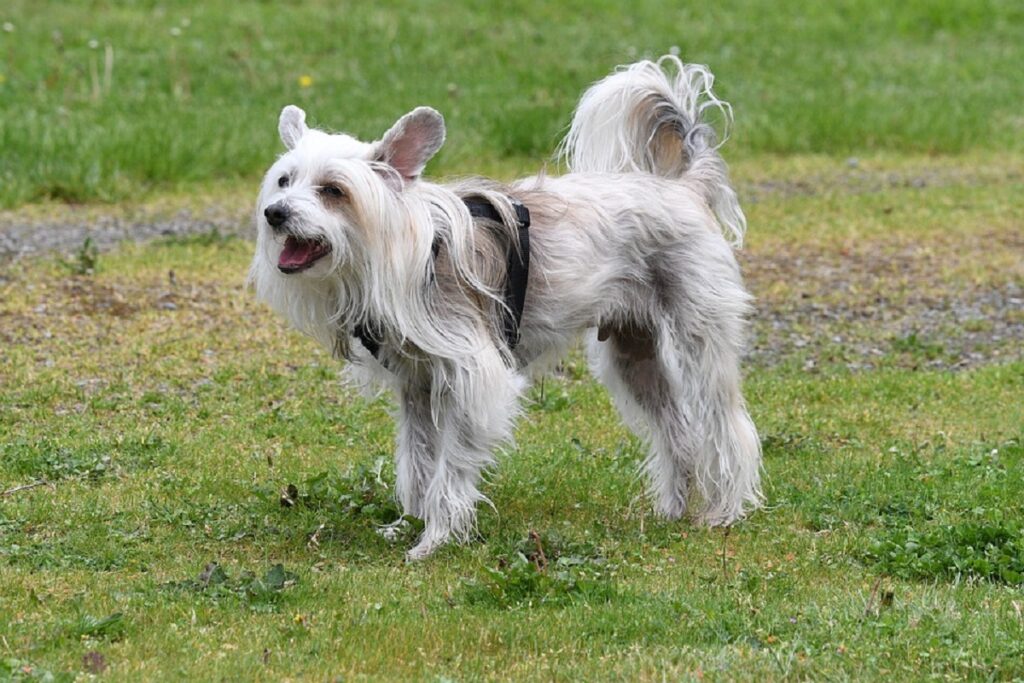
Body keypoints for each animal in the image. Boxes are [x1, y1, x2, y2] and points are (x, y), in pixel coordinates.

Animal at [247, 57, 761, 561]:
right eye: (285, 181)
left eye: (333, 190)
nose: (275, 212)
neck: (408, 254)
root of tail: (685, 188)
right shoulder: (416, 388)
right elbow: (417, 462)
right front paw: (409, 522)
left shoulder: (475, 382)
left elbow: (449, 470)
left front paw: (436, 538)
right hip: (634, 357)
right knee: (678, 434)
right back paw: (673, 509)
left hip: (700, 345)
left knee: (728, 427)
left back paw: (726, 511)